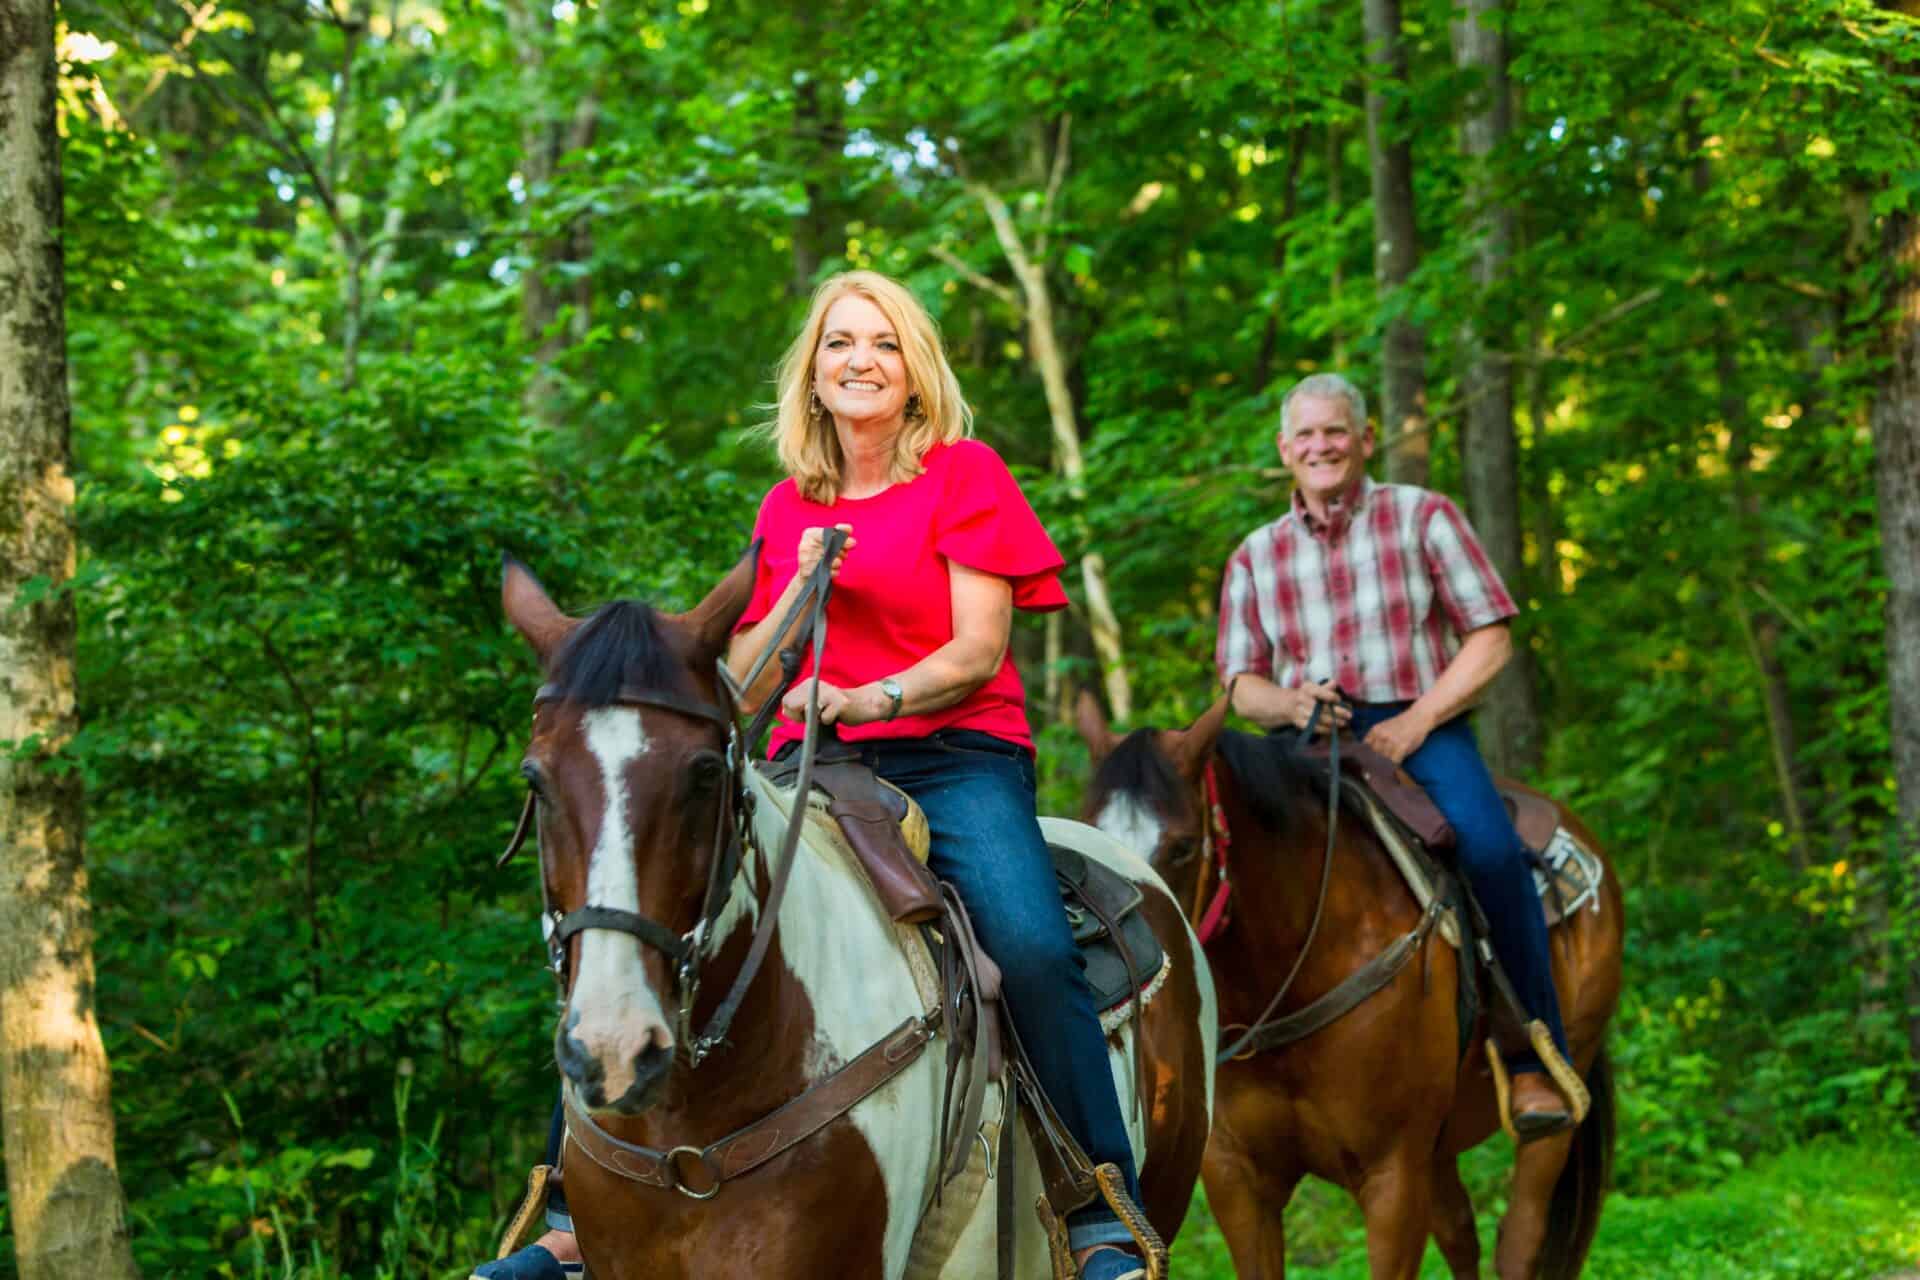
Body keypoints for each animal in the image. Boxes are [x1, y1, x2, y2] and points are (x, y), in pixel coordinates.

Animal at [1082, 694, 1620, 1280]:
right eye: (1087, 831)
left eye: (1181, 848)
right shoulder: (1238, 1182)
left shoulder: (1393, 1179)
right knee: (1460, 1233)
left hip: (1556, 1095)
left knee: (1519, 1240)